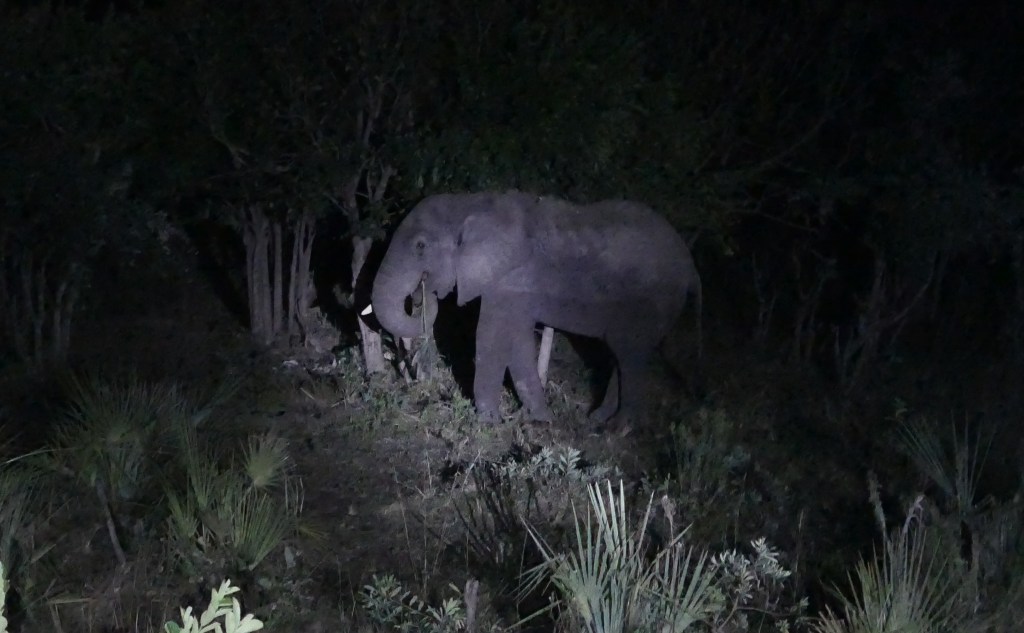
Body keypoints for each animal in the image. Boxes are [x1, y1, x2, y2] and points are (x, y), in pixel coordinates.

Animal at [369, 191, 702, 431]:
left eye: (420, 246)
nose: (423, 291)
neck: (468, 203)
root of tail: (691, 267)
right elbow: (518, 342)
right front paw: (541, 419)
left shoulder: (511, 281)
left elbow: (491, 338)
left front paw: (488, 424)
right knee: (623, 356)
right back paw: (596, 419)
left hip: (651, 302)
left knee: (630, 356)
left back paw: (618, 430)